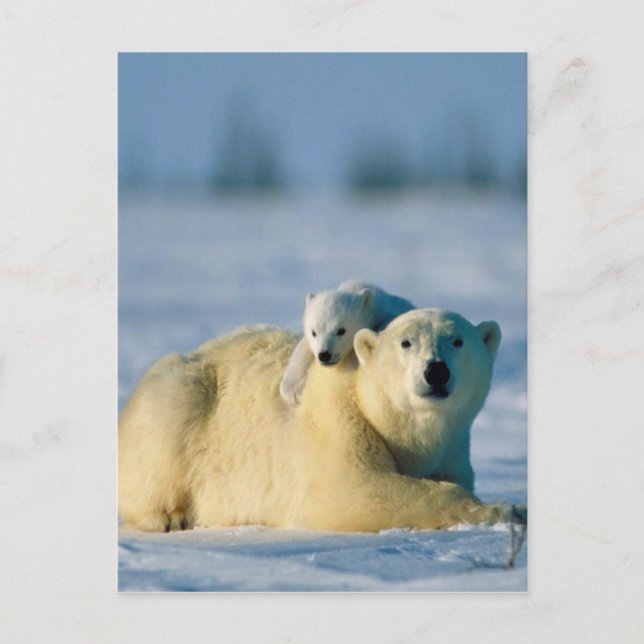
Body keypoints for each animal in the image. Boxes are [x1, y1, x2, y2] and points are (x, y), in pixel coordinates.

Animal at [118, 308, 525, 533]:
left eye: (457, 341)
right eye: (406, 342)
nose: (436, 371)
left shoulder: (453, 448)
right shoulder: (339, 420)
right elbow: (351, 489)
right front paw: (509, 509)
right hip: (183, 393)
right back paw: (171, 516)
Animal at [279, 279, 415, 405]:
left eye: (341, 330)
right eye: (314, 332)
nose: (324, 355)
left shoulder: (385, 311)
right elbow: (303, 347)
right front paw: (291, 390)